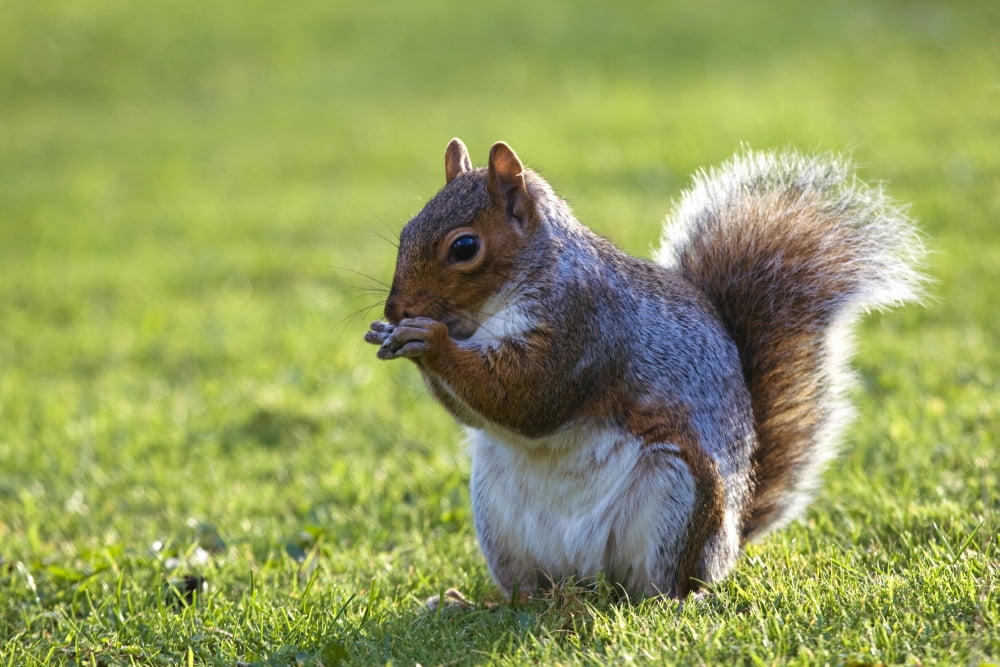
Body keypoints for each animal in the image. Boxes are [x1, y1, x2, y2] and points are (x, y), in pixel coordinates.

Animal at [365, 138, 925, 599]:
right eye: (407, 230)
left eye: (464, 247)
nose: (396, 308)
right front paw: (389, 333)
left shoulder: (583, 325)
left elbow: (530, 395)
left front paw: (428, 340)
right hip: (497, 516)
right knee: (528, 590)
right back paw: (480, 602)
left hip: (675, 495)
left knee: (656, 584)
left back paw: (672, 601)